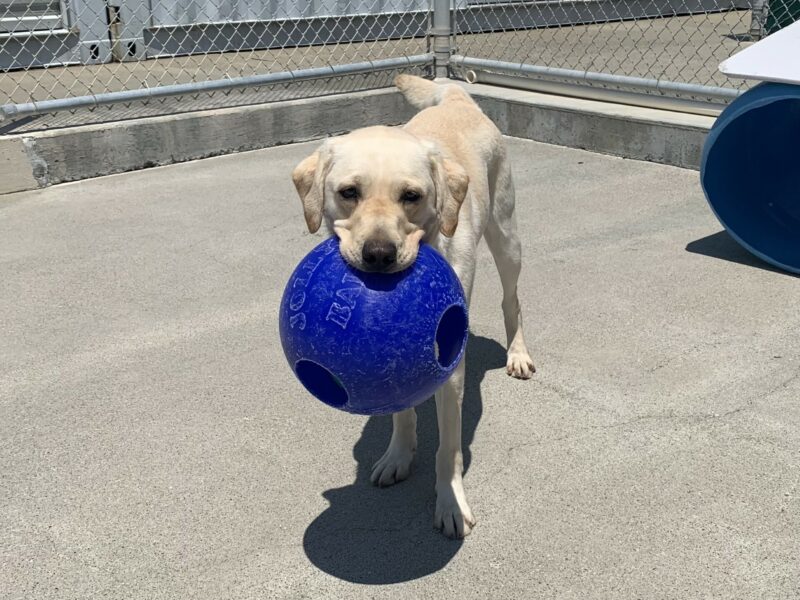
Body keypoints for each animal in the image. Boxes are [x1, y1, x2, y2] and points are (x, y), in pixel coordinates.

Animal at [291, 74, 535, 538]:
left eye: (411, 195)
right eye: (349, 192)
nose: (379, 254)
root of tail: (457, 97)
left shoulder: (450, 369)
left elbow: (449, 450)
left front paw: (451, 503)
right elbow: (401, 413)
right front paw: (398, 456)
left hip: (507, 235)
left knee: (512, 300)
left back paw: (518, 353)